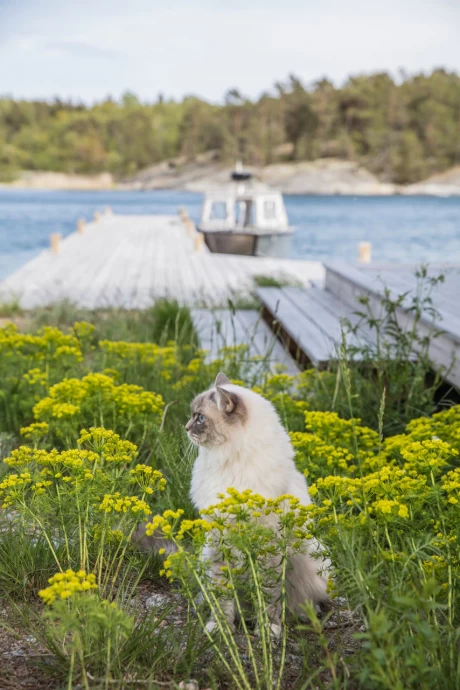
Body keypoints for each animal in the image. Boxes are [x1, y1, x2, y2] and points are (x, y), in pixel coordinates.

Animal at [185, 370, 328, 636]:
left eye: (199, 418)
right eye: (192, 416)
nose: (186, 428)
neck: (230, 463)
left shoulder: (266, 549)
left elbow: (268, 594)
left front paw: (268, 630)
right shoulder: (218, 544)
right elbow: (224, 597)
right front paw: (220, 628)